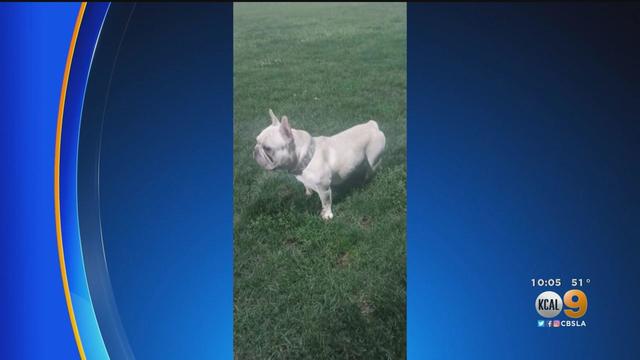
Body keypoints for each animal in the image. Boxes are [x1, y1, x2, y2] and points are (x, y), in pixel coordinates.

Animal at [254, 109, 384, 219]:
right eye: (257, 140)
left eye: (267, 148)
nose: (255, 150)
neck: (306, 156)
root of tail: (372, 125)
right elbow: (307, 186)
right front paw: (308, 194)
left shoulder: (324, 188)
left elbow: (325, 202)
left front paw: (326, 215)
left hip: (373, 160)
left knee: (372, 168)